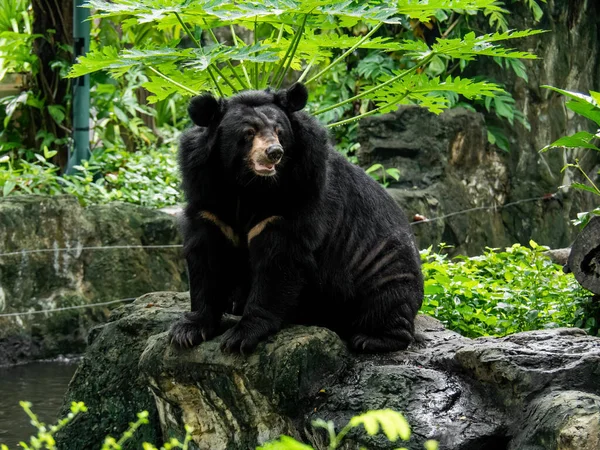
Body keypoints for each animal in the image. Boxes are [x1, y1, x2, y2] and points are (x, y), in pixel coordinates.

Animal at [169, 82, 422, 354]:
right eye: (249, 132)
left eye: (279, 131)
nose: (274, 152)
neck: (247, 186)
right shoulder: (206, 194)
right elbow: (207, 257)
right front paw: (187, 331)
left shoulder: (297, 194)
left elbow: (279, 259)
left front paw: (240, 337)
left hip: (382, 265)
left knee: (386, 300)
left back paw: (370, 339)